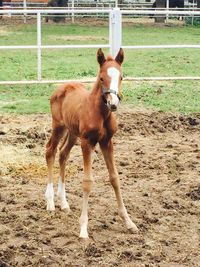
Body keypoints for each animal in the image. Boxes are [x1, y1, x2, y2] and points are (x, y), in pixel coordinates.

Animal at [45, 48, 138, 239]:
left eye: (121, 77)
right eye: (102, 78)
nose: (113, 103)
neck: (101, 112)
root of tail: (61, 87)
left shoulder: (107, 142)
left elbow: (114, 178)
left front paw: (129, 222)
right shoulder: (87, 143)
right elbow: (87, 182)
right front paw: (83, 229)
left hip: (73, 132)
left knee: (63, 154)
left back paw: (64, 203)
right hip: (59, 126)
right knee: (50, 151)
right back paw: (50, 201)